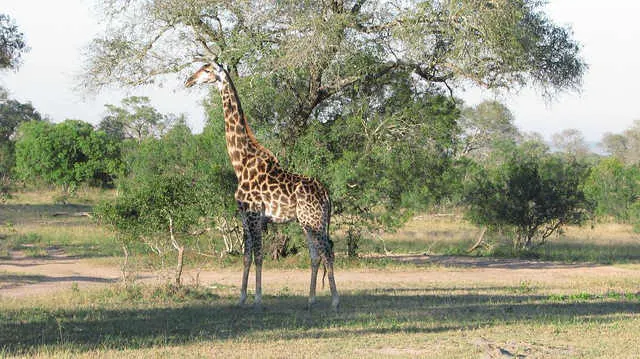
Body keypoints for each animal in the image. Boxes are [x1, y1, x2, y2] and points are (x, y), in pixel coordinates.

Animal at [185, 62, 340, 310]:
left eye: (207, 70)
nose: (189, 80)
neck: (240, 162)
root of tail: (326, 194)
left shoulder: (255, 214)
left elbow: (258, 255)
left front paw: (257, 298)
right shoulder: (244, 215)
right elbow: (247, 256)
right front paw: (241, 298)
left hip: (314, 220)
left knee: (327, 251)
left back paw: (334, 301)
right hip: (308, 222)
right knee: (316, 254)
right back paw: (311, 300)